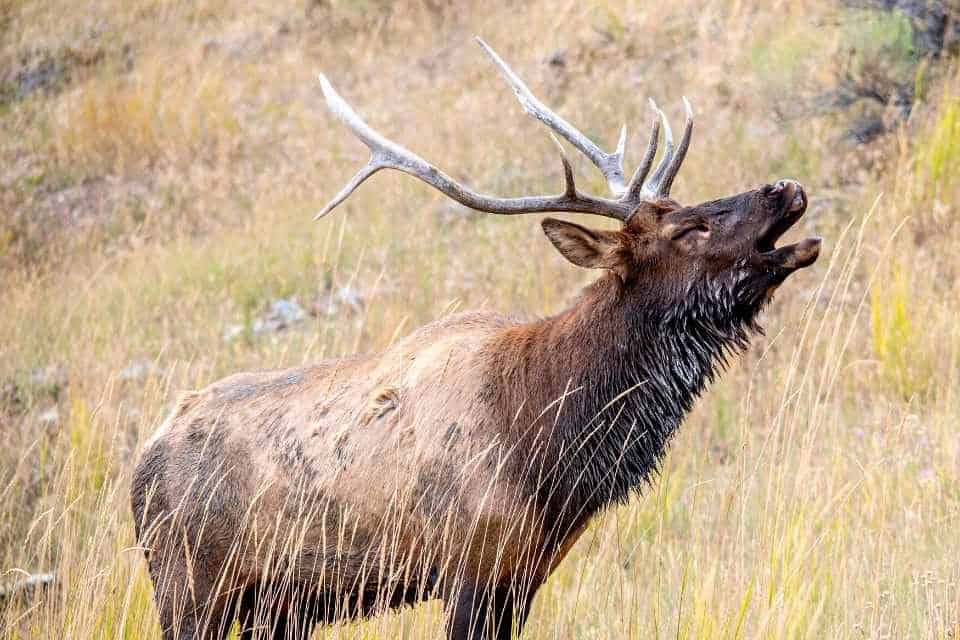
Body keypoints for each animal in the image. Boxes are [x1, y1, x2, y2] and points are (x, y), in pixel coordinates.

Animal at [131, 37, 820, 636]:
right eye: (686, 229)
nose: (784, 186)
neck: (551, 448)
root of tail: (140, 464)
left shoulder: (524, 575)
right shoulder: (469, 565)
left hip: (275, 605)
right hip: (189, 586)